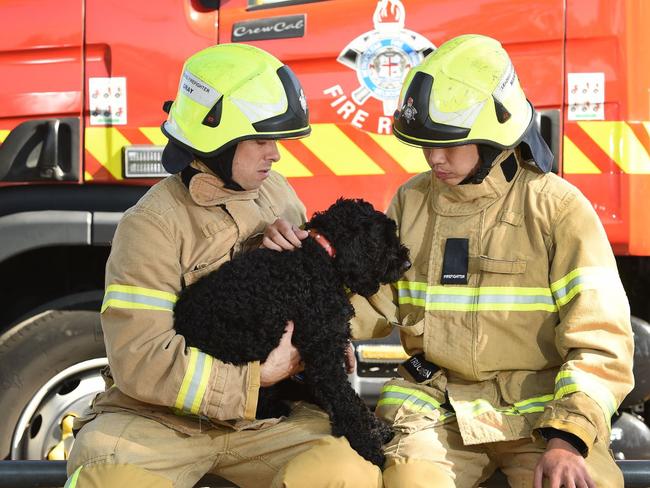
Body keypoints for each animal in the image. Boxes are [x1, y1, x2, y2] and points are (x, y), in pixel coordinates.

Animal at [175, 198, 408, 466]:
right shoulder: (324, 353)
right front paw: (368, 447)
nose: (407, 263)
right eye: (383, 240)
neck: (319, 257)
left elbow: (353, 400)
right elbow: (346, 402)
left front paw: (377, 429)